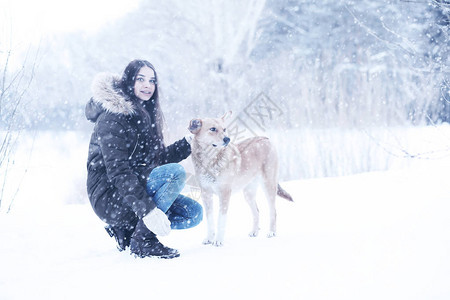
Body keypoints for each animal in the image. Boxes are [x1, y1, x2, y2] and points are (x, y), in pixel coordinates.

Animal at [188, 111, 294, 245]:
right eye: (212, 129)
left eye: (224, 129)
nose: (227, 139)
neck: (210, 161)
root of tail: (266, 138)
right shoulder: (206, 194)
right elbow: (210, 220)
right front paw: (209, 238)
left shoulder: (224, 193)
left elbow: (220, 220)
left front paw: (218, 240)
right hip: (248, 193)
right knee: (257, 211)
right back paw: (254, 232)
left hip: (268, 185)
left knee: (273, 211)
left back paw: (272, 232)